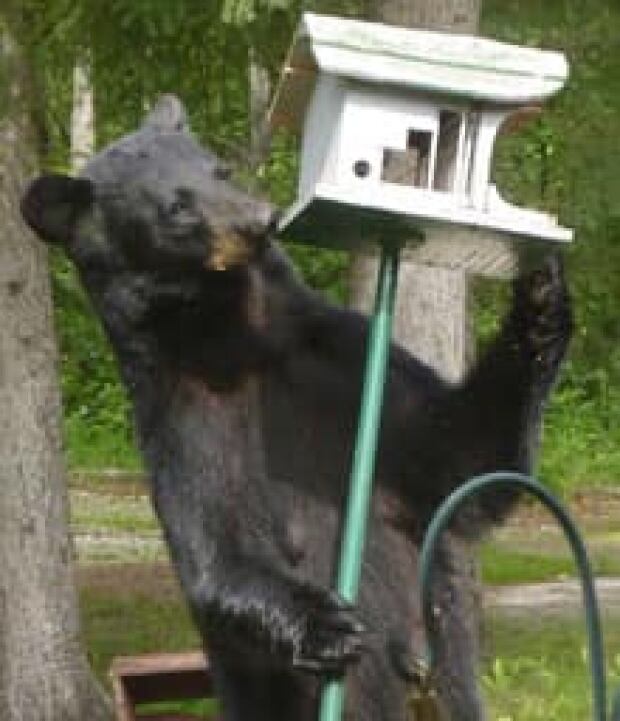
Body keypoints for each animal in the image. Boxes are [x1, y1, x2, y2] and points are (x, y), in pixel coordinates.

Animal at [21, 95, 572, 721]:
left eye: (219, 171)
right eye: (175, 208)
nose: (258, 220)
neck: (239, 339)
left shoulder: (339, 362)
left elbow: (463, 460)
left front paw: (541, 293)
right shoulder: (186, 415)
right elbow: (216, 551)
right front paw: (327, 624)